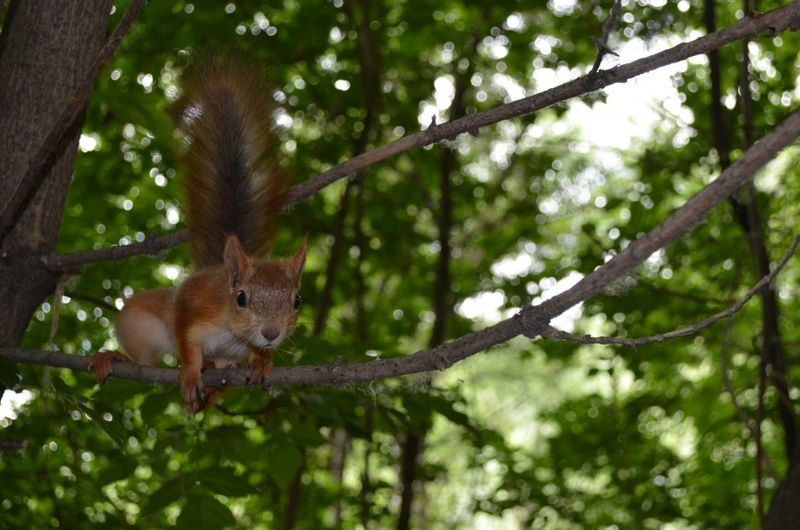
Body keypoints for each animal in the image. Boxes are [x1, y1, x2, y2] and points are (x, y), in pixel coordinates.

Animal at [89, 57, 306, 414]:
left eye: (297, 300)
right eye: (241, 298)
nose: (271, 333)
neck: (233, 332)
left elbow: (259, 356)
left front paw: (262, 361)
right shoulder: (192, 307)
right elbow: (186, 343)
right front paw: (191, 373)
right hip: (138, 324)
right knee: (146, 361)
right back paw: (115, 357)